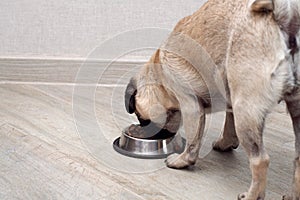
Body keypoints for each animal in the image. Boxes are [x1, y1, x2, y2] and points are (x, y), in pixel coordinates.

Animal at [123, 0, 298, 199]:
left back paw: (252, 195)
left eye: (141, 117)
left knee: (260, 160)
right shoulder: (230, 99)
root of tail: (281, 15)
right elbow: (228, 125)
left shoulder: (190, 104)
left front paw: (182, 161)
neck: (159, 75)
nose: (141, 126)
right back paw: (293, 195)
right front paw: (225, 143)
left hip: (245, 112)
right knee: (297, 161)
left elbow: (192, 143)